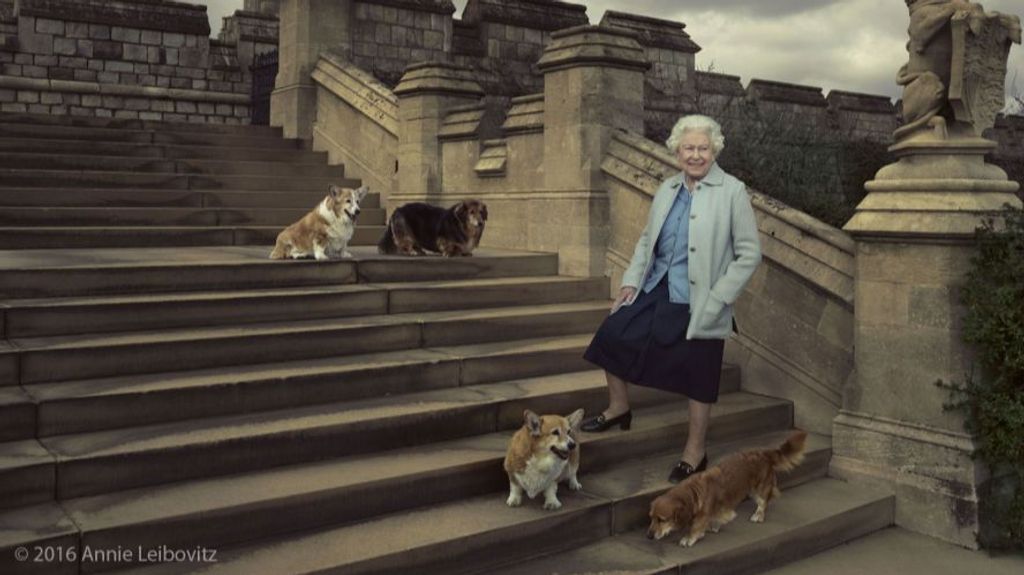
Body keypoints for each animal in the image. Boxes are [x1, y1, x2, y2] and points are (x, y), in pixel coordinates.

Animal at [647, 429, 806, 544]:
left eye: (662, 519)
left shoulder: (703, 514)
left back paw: (758, 515)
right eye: (651, 518)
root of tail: (765, 453)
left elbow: (696, 525)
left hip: (758, 489)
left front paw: (689, 537)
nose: (649, 536)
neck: (694, 492)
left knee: (764, 502)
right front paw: (711, 527)